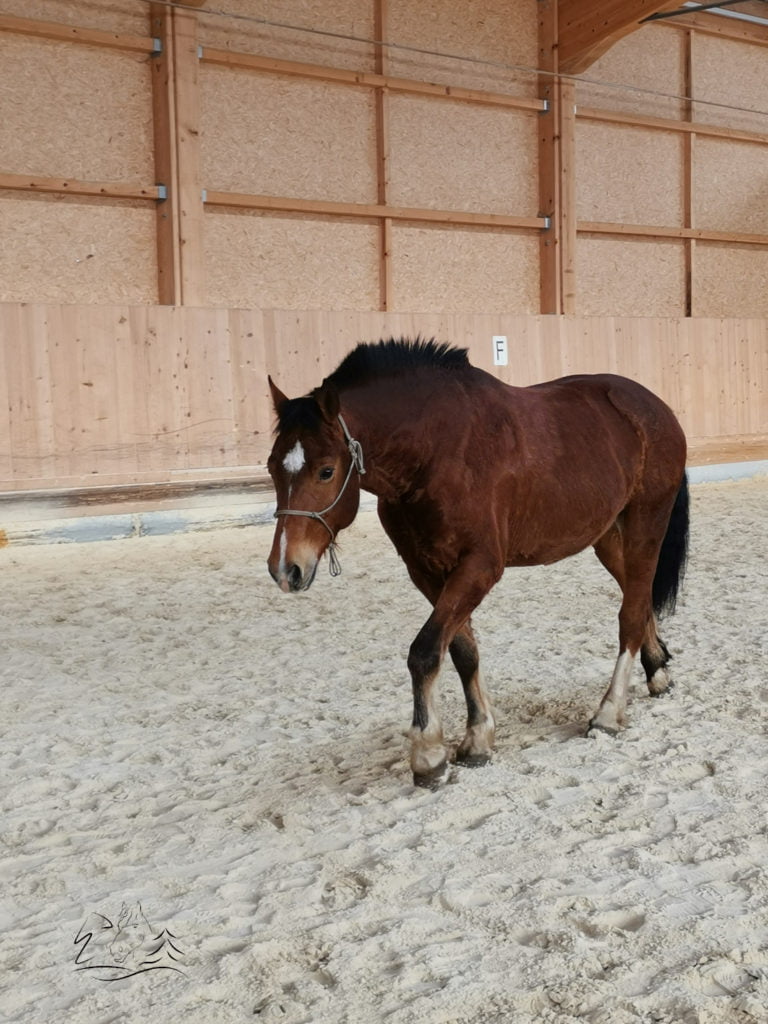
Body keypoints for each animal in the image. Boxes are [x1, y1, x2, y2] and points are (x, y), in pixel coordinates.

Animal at [266, 338, 689, 788]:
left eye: (326, 471)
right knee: (639, 596)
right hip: (608, 536)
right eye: (272, 467)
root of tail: (653, 406)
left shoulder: (479, 568)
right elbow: (461, 650)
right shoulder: (427, 572)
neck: (434, 452)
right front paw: (478, 738)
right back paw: (656, 668)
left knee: (631, 613)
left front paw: (429, 753)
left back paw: (609, 712)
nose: (286, 569)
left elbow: (425, 651)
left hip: (646, 524)